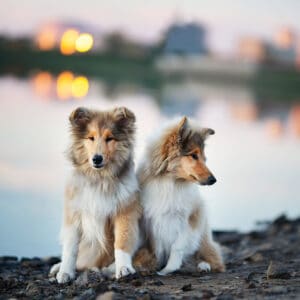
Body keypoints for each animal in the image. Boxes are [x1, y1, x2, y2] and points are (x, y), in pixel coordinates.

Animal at [50, 106, 141, 282]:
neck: (100, 179)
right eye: (91, 138)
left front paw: (123, 268)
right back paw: (58, 267)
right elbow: (71, 247)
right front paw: (65, 272)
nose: (97, 159)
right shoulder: (74, 214)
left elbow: (122, 242)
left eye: (110, 138)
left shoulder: (125, 212)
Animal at [136, 116, 225, 276]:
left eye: (204, 158)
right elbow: (158, 248)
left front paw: (168, 269)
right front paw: (156, 266)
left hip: (205, 242)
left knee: (212, 259)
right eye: (193, 155)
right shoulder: (153, 221)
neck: (172, 182)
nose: (213, 180)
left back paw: (203, 266)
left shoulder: (190, 217)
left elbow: (177, 247)